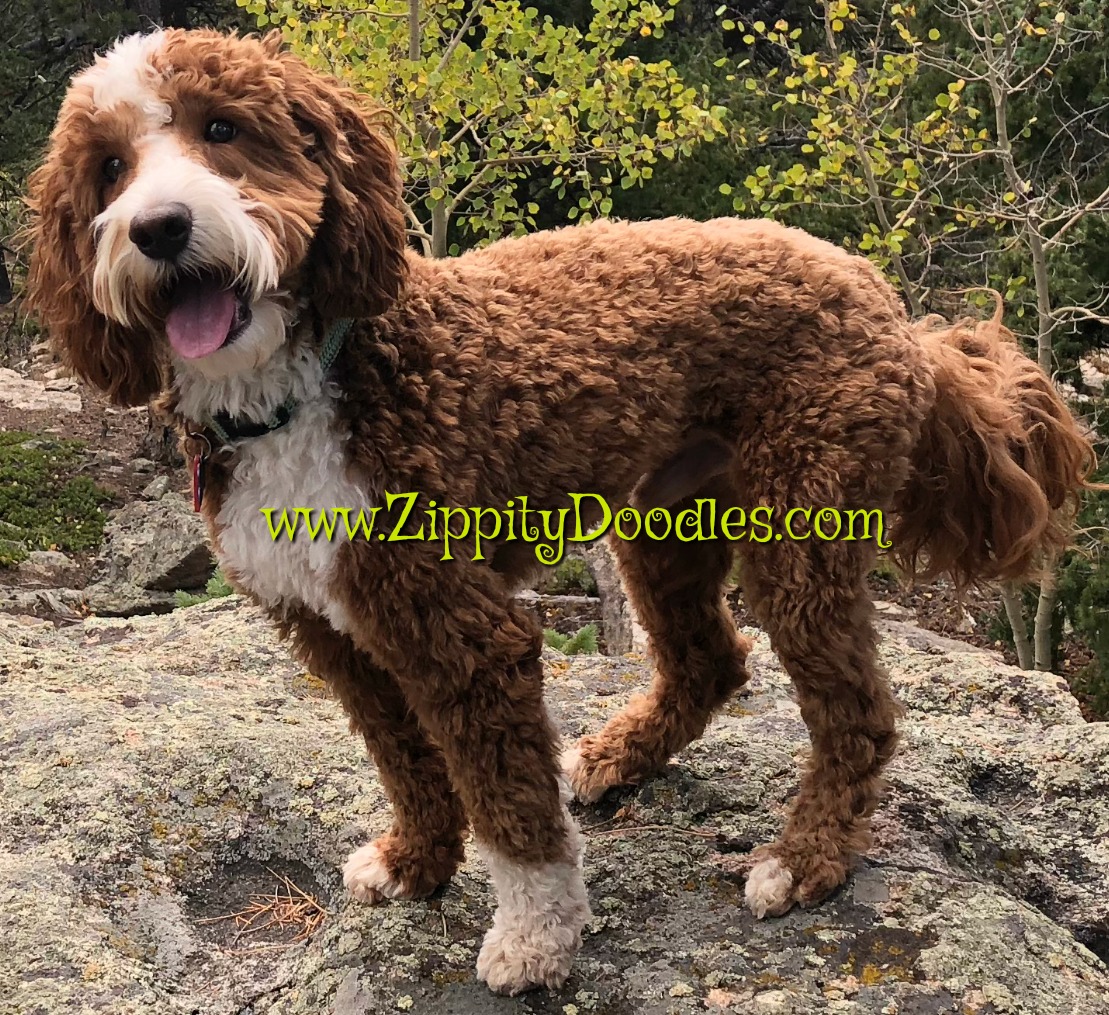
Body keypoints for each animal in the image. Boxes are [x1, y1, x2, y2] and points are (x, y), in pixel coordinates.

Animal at [23, 27, 1091, 998]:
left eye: (223, 129)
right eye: (109, 168)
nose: (159, 227)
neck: (306, 381)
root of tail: (892, 308)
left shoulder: (460, 630)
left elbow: (507, 801)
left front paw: (535, 936)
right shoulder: (331, 626)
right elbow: (404, 758)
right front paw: (414, 861)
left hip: (800, 524)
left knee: (855, 711)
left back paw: (803, 859)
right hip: (665, 523)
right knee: (710, 660)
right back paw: (617, 757)